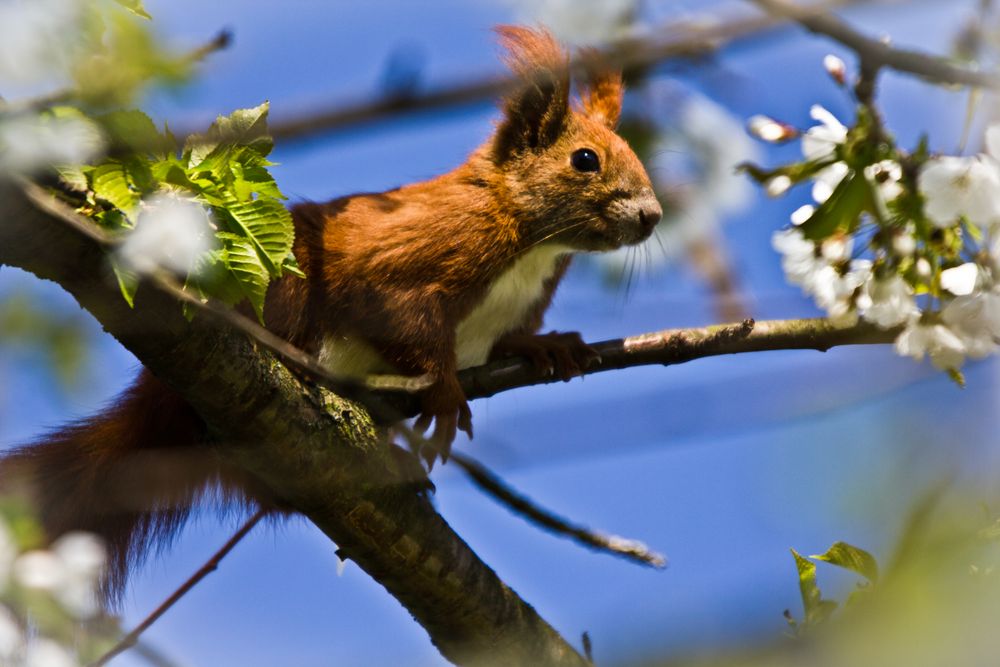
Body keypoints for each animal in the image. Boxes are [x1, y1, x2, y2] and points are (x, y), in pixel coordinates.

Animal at [1, 27, 664, 600]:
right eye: (585, 160)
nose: (652, 215)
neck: (533, 244)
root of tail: (156, 399)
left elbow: (504, 343)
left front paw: (547, 345)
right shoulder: (413, 259)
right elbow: (402, 316)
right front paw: (446, 391)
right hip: (284, 298)